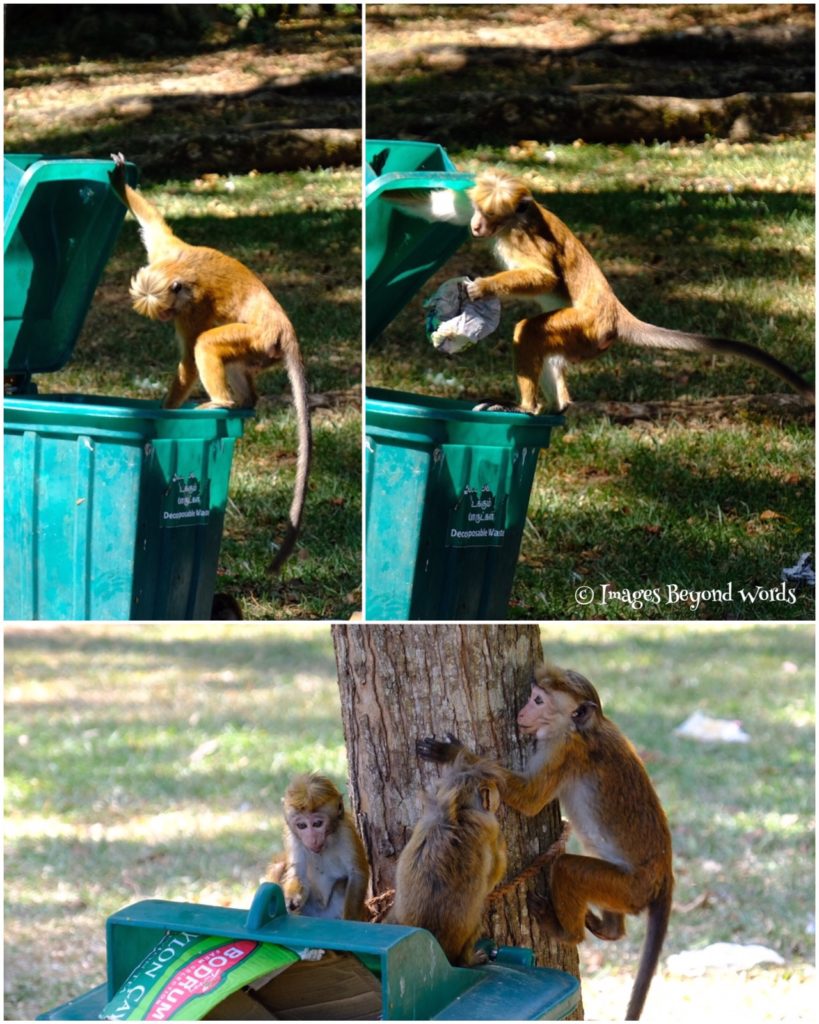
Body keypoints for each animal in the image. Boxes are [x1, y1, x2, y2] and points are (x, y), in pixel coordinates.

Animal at [109, 153, 311, 571]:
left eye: (167, 313)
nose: (165, 320)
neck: (180, 274)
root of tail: (284, 327)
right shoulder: (166, 254)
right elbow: (152, 223)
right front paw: (120, 181)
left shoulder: (192, 307)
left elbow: (189, 356)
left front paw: (166, 411)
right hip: (261, 348)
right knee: (232, 361)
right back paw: (245, 402)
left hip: (258, 338)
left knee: (206, 344)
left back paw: (224, 402)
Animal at [277, 772, 369, 921]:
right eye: (302, 825)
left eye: (317, 824)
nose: (312, 839)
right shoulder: (294, 839)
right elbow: (298, 874)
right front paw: (291, 900)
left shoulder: (346, 831)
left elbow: (356, 873)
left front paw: (350, 919)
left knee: (342, 883)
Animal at [385, 168, 814, 412]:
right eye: (478, 213)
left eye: (490, 215)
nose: (476, 227)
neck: (513, 222)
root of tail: (616, 313)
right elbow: (441, 208)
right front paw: (387, 191)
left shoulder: (523, 237)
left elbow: (549, 278)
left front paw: (483, 289)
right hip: (585, 338)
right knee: (545, 349)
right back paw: (556, 407)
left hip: (586, 327)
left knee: (531, 330)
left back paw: (526, 409)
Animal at [416, 664, 673, 1021]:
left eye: (539, 700)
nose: (522, 711)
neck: (582, 728)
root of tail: (665, 875)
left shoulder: (563, 751)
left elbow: (529, 799)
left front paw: (456, 754)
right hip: (626, 891)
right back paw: (609, 929)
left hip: (631, 887)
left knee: (567, 868)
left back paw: (567, 931)